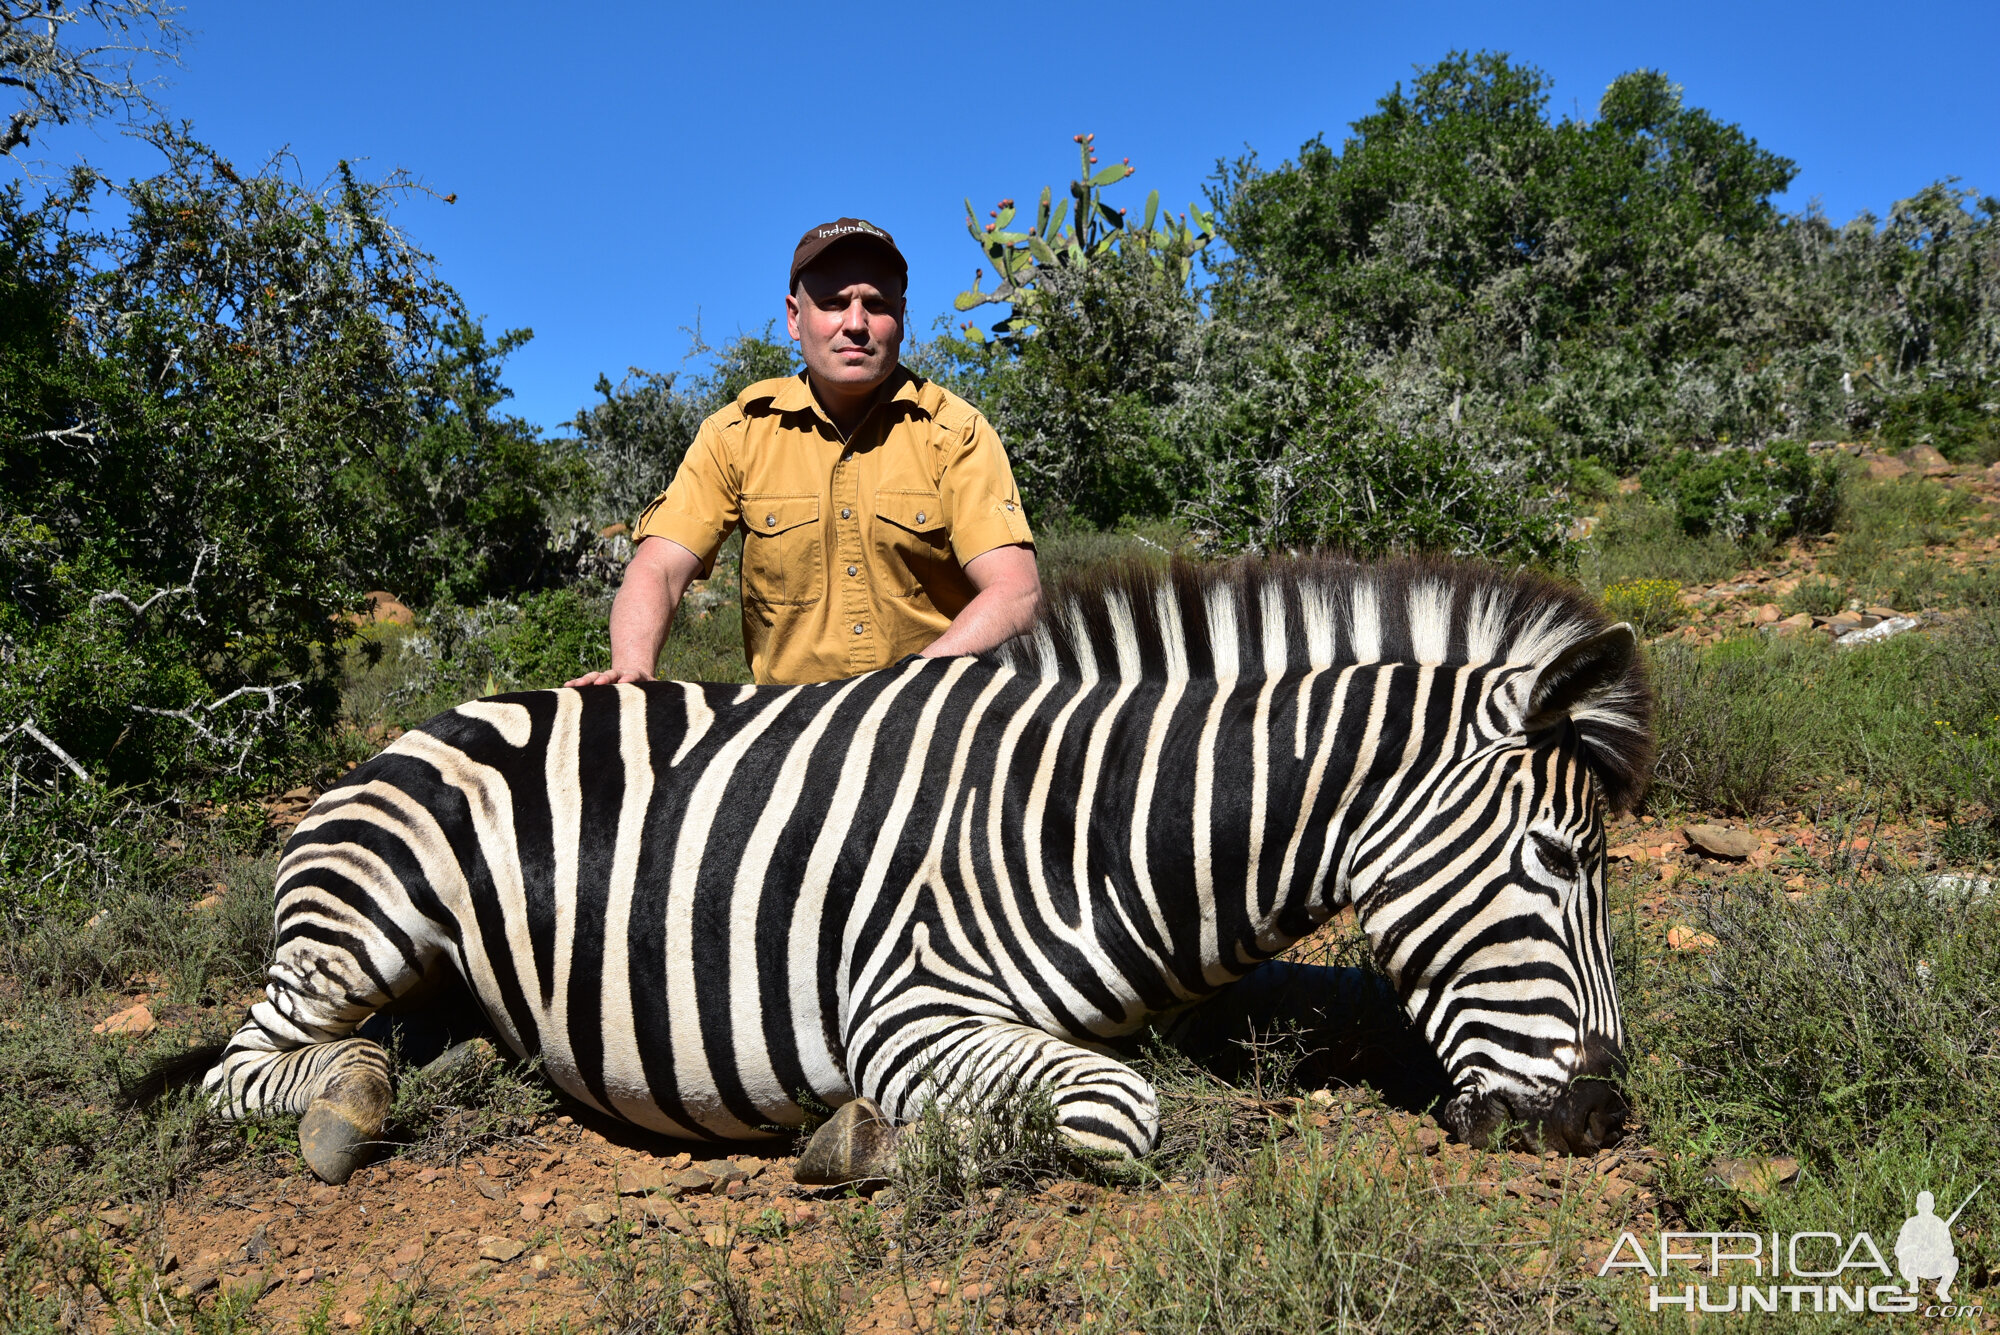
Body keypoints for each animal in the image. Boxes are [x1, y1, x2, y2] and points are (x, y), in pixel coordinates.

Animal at [195, 559, 1648, 1183]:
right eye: (1558, 859)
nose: (1598, 1119)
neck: (1094, 824)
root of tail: (430, 719)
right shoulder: (906, 1010)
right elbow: (1120, 1108)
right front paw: (861, 1143)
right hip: (365, 924)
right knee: (246, 1069)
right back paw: (353, 1100)